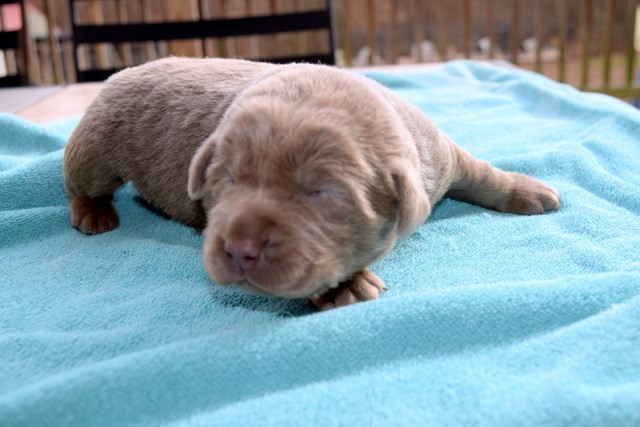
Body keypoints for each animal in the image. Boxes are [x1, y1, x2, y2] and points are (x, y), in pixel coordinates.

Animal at [62, 56, 556, 310]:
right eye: (228, 180)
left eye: (319, 193)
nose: (240, 247)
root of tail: (128, 68)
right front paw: (344, 286)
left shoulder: (440, 155)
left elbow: (483, 175)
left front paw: (528, 191)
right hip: (98, 142)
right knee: (79, 178)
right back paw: (94, 213)